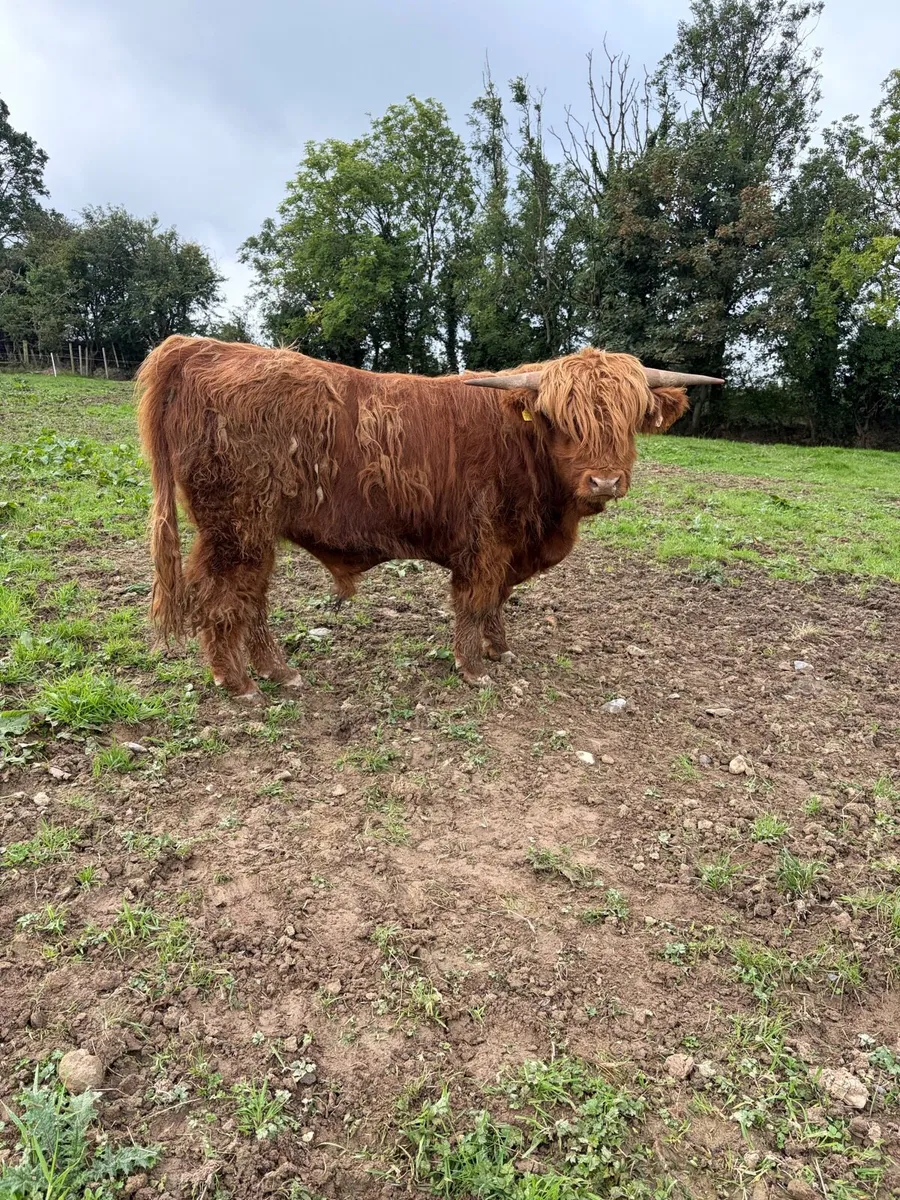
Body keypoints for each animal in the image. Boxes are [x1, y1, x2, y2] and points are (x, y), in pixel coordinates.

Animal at [136, 336, 721, 700]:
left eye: (629, 418)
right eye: (561, 419)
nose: (604, 481)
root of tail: (198, 346)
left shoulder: (506, 548)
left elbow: (497, 601)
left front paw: (499, 649)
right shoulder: (485, 542)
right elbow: (476, 600)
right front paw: (474, 668)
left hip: (252, 532)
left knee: (249, 599)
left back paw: (277, 672)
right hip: (235, 528)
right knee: (222, 598)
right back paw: (241, 684)